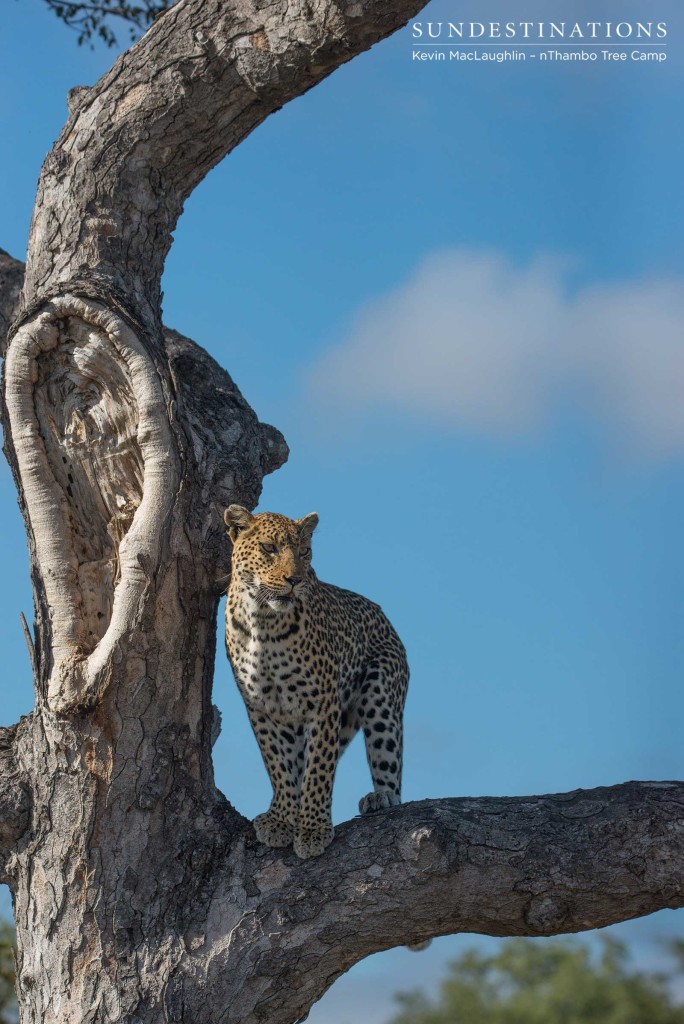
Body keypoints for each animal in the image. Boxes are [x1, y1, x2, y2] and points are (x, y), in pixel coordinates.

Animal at [222, 503, 409, 856]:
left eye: (304, 552)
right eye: (269, 548)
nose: (294, 579)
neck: (263, 622)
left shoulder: (322, 704)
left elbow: (319, 769)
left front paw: (312, 829)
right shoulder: (260, 707)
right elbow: (278, 765)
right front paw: (282, 818)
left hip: (381, 694)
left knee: (387, 752)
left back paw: (382, 796)